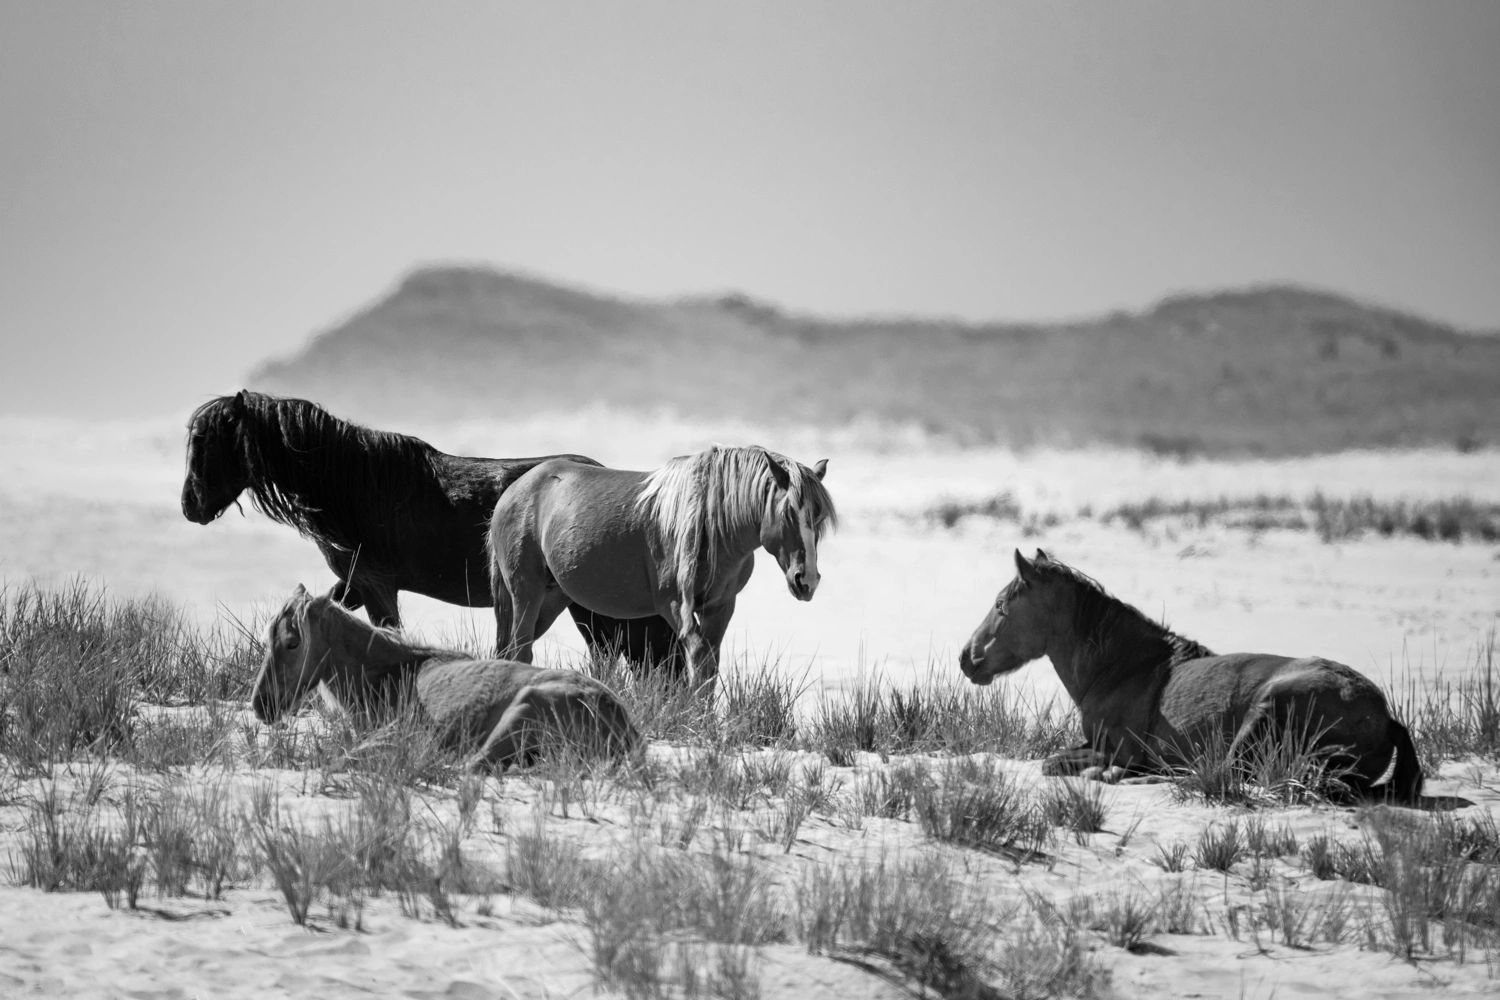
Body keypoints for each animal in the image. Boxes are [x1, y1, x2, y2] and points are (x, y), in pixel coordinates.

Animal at [252, 581, 639, 773]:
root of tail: (620, 723)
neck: (393, 671)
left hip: (522, 710)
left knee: (469, 766)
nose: (260, 705)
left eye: (292, 642)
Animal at [492, 446, 846, 689]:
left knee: (514, 649)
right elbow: (699, 658)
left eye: (818, 516)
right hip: (526, 592)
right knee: (520, 650)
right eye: (788, 513)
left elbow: (710, 665)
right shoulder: (674, 605)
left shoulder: (720, 607)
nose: (806, 580)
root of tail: (515, 489)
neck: (712, 525)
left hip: (553, 598)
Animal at [954, 551, 1422, 803]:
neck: (1126, 667)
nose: (966, 658)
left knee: (1218, 773)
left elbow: (1055, 763)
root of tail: (1384, 718)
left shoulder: (1117, 749)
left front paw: (1105, 772)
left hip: (1266, 710)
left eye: (1001, 605)